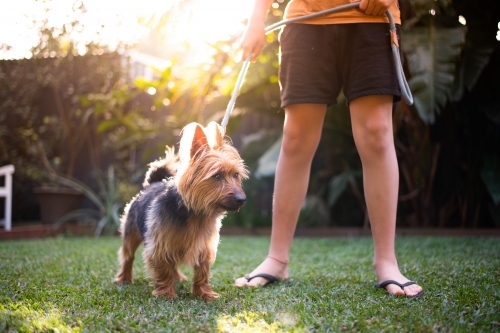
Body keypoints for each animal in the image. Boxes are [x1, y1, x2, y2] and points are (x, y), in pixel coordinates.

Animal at [117, 121, 250, 298]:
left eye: (235, 175)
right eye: (217, 176)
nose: (241, 200)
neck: (195, 213)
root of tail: (152, 184)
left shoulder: (204, 247)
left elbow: (202, 271)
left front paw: (204, 293)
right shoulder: (161, 244)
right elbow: (164, 268)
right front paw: (166, 293)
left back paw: (178, 277)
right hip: (131, 232)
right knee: (128, 256)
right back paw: (124, 278)